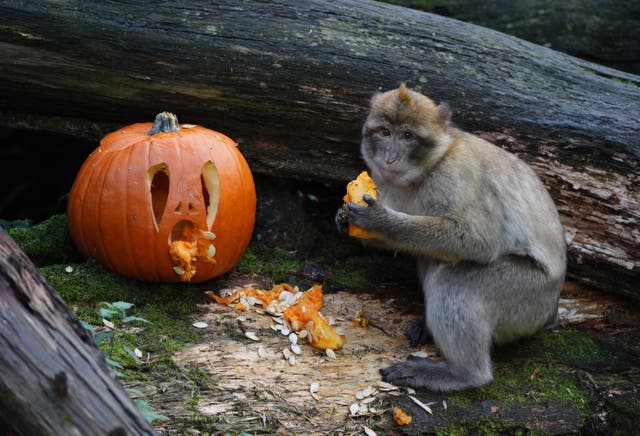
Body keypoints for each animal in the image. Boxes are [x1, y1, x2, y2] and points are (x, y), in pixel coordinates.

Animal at [338, 82, 568, 392]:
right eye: (385, 132)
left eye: (407, 136)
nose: (389, 158)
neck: (428, 168)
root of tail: (551, 312)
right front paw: (343, 218)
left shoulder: (454, 176)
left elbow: (479, 239)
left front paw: (382, 221)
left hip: (530, 298)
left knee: (456, 280)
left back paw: (463, 374)